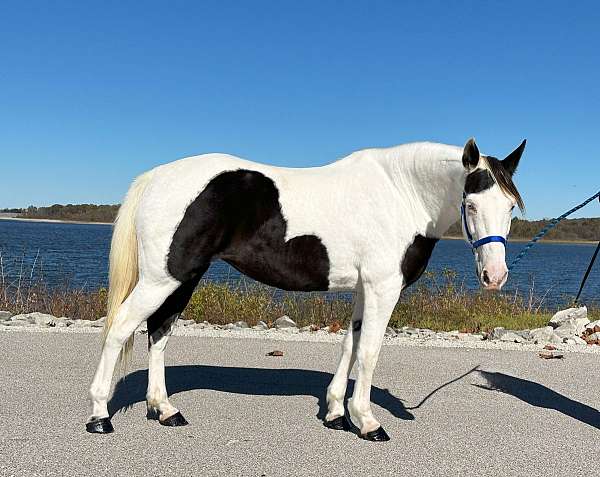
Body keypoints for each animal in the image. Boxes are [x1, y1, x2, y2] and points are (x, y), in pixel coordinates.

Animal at [88, 137, 524, 438]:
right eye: (471, 204)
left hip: (182, 278)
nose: (495, 276)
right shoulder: (383, 288)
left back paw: (165, 410)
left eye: (510, 207)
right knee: (121, 328)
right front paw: (367, 422)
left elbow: (350, 345)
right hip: (163, 278)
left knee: (159, 332)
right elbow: (369, 353)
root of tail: (156, 177)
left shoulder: (363, 289)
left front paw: (336, 414)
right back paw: (99, 416)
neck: (401, 195)